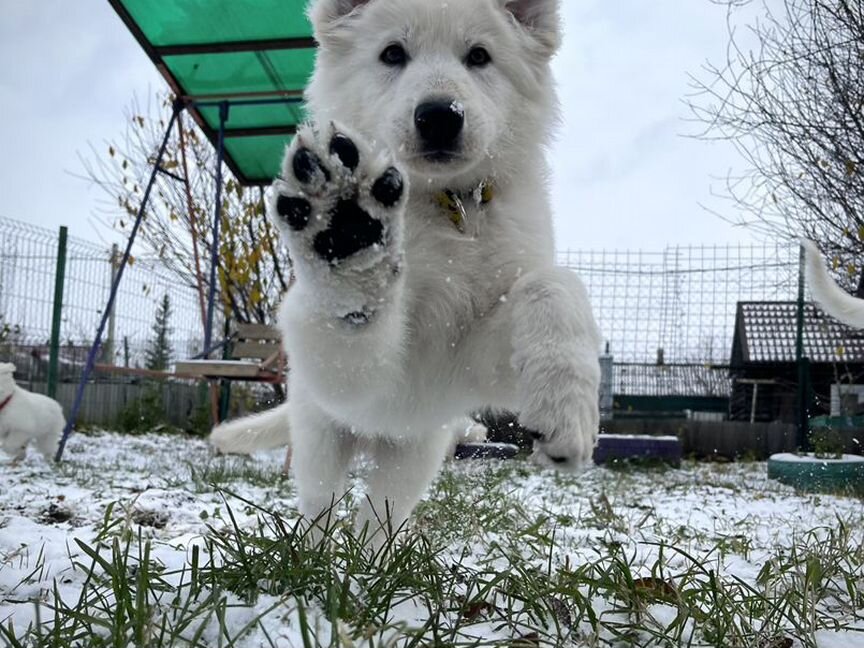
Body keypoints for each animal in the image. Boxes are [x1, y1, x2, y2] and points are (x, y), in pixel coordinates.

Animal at [210, 0, 600, 536]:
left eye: (479, 55)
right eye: (392, 53)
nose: (439, 117)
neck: (449, 208)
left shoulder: (463, 362)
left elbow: (554, 283)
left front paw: (567, 409)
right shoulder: (378, 373)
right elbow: (358, 324)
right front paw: (350, 241)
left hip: (415, 454)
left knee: (378, 518)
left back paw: (368, 558)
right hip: (320, 434)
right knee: (321, 506)